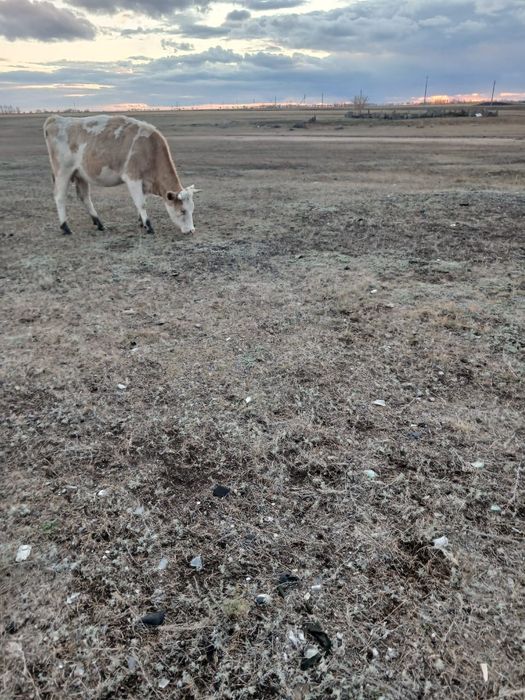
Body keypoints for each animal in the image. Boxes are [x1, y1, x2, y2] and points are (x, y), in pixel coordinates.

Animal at [43, 114, 198, 235]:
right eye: (182, 211)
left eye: (192, 209)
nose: (191, 230)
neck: (150, 148)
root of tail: (55, 119)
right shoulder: (132, 178)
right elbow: (141, 203)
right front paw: (148, 226)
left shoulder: (144, 182)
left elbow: (142, 202)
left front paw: (141, 222)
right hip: (63, 173)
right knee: (60, 197)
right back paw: (65, 227)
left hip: (80, 175)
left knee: (85, 198)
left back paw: (99, 223)